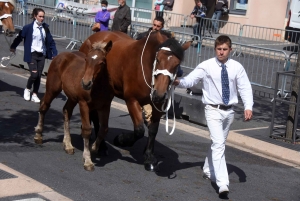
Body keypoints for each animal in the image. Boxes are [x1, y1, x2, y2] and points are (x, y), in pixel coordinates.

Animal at [33, 40, 112, 170]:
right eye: (86, 60)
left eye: (102, 62)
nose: (85, 83)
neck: (98, 87)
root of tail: (59, 56)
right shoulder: (84, 104)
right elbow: (86, 129)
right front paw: (88, 160)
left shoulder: (105, 106)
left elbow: (104, 129)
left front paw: (94, 148)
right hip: (53, 88)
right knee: (44, 105)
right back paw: (38, 135)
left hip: (72, 97)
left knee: (66, 111)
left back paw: (68, 144)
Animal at [79, 30, 191, 171]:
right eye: (158, 59)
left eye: (177, 65)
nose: (159, 94)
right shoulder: (132, 100)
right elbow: (139, 130)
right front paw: (121, 140)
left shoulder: (158, 104)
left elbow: (153, 129)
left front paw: (149, 156)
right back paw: (102, 146)